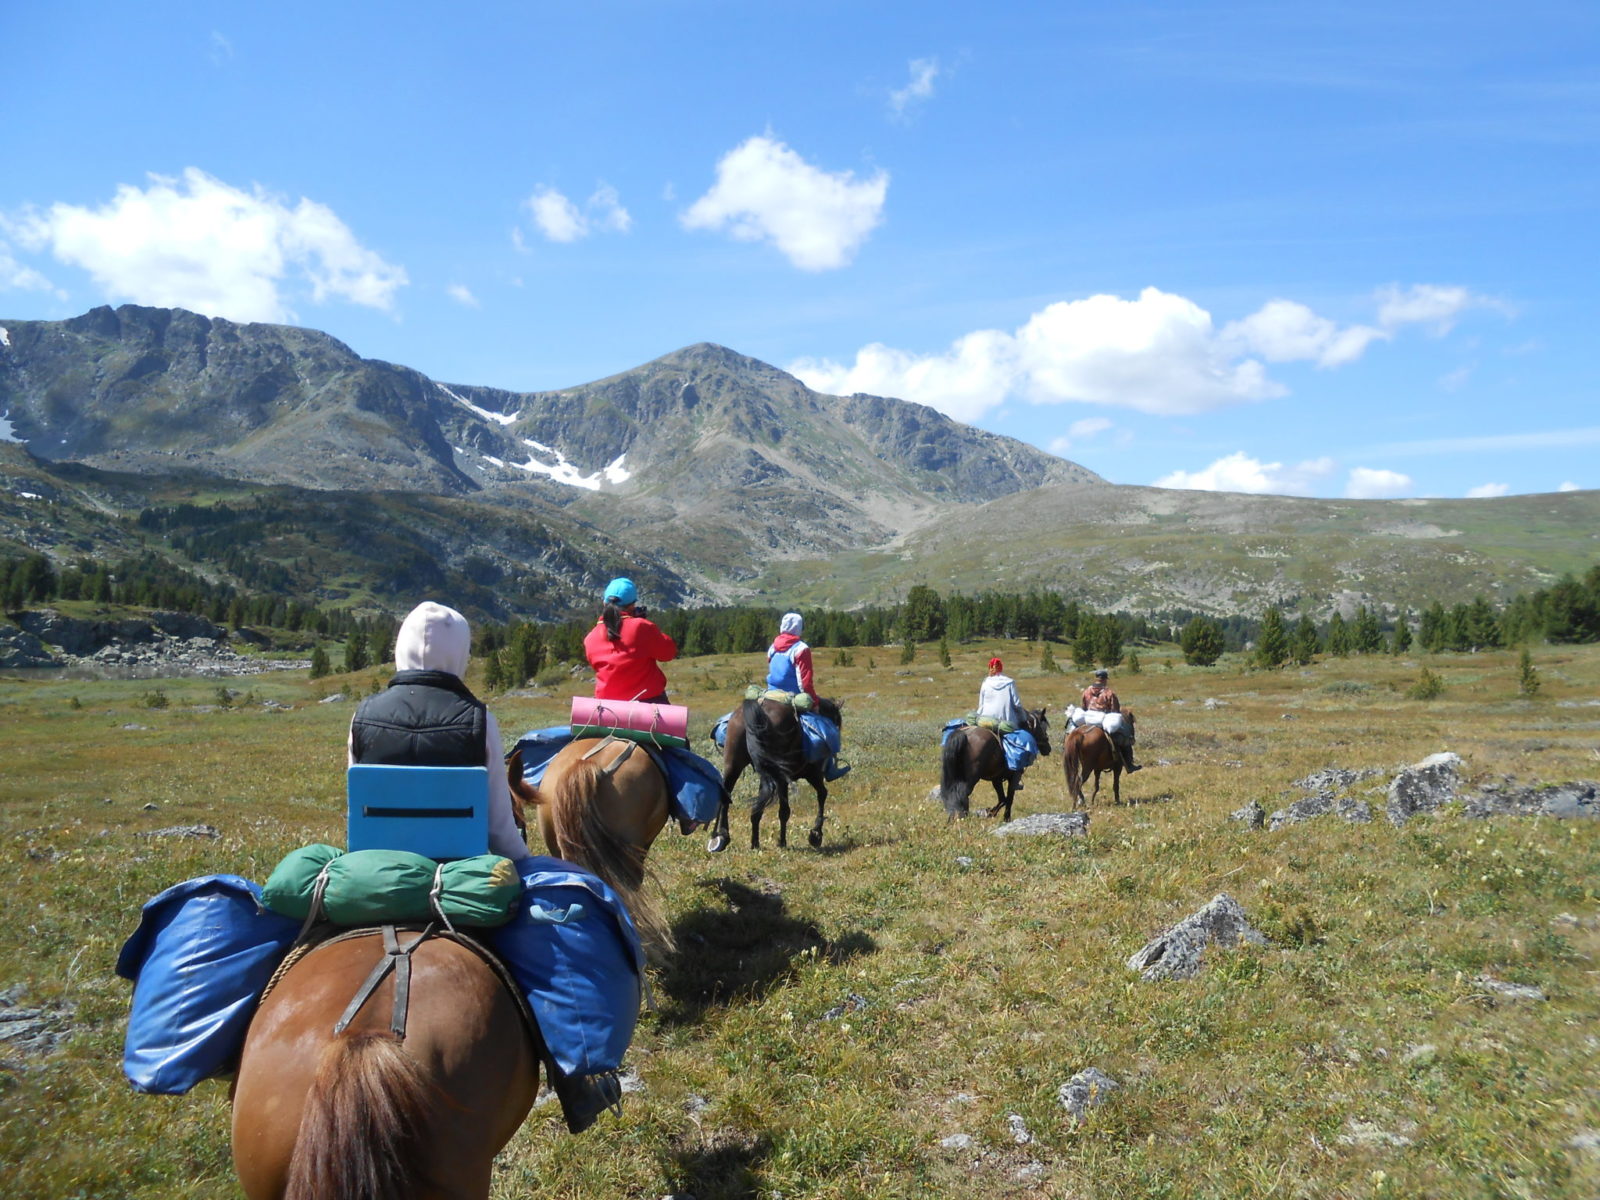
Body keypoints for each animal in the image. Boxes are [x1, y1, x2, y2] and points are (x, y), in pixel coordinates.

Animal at [707, 694, 844, 857]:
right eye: (837, 721)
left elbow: (758, 809)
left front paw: (755, 843)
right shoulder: (811, 774)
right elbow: (820, 795)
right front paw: (814, 835)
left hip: (733, 765)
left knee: (727, 796)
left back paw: (722, 837)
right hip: (780, 775)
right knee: (784, 808)